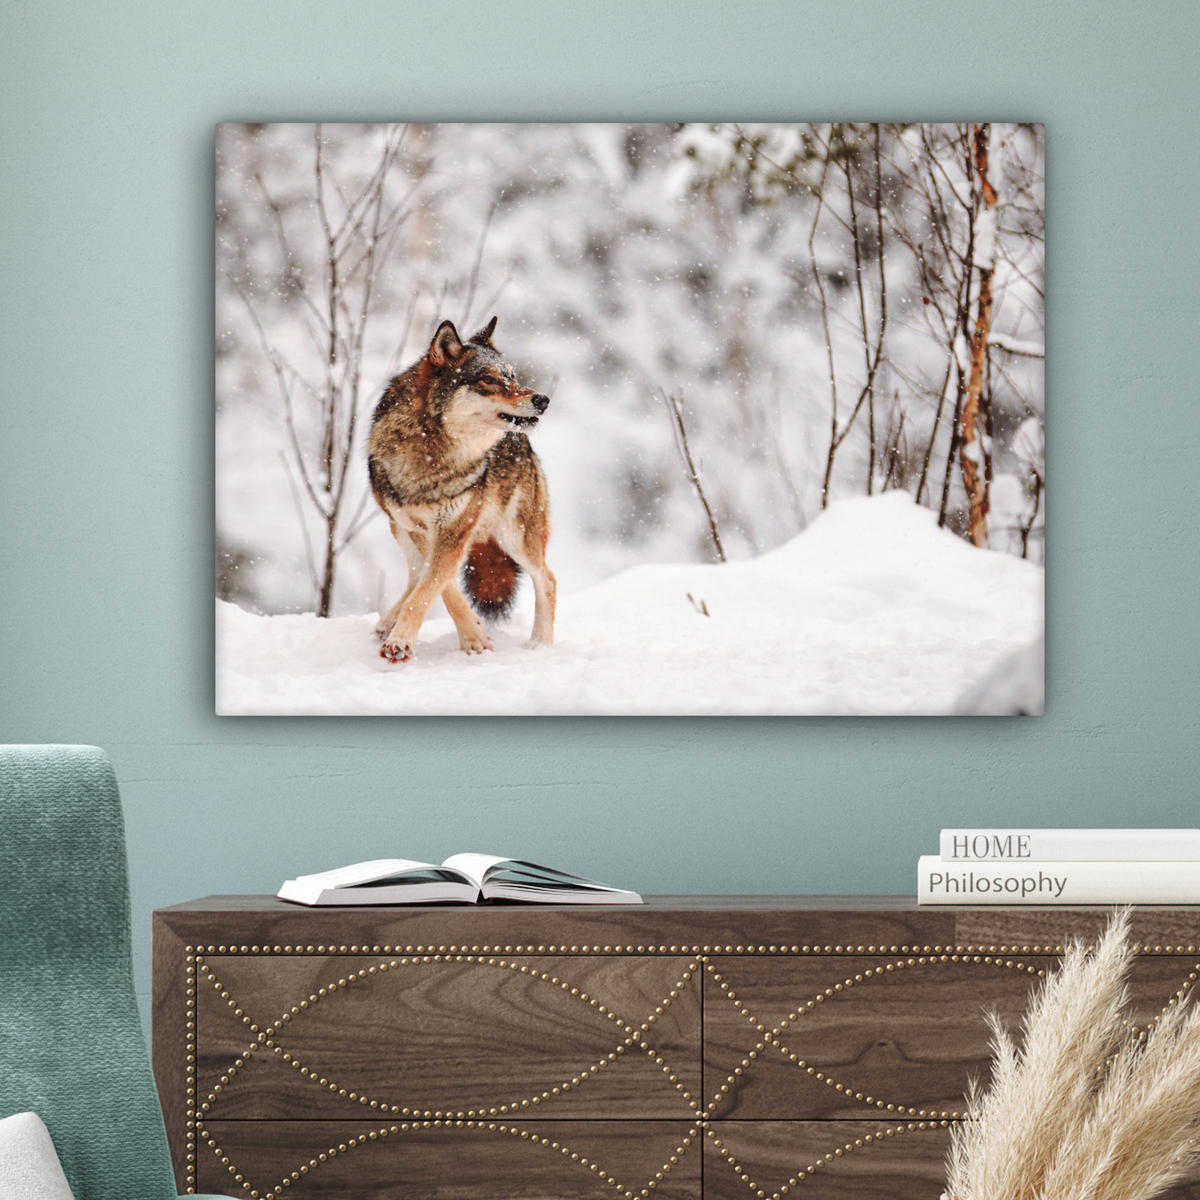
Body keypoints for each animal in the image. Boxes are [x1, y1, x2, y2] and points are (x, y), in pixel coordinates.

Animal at [367, 316, 555, 663]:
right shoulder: (421, 529)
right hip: (397, 527)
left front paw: (402, 642)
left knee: (547, 579)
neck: (434, 453)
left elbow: (430, 587)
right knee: (415, 574)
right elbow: (439, 586)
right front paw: (473, 635)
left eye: (512, 376)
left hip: (516, 537)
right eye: (488, 380)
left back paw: (541, 644)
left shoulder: (454, 530)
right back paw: (387, 622)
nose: (543, 399)